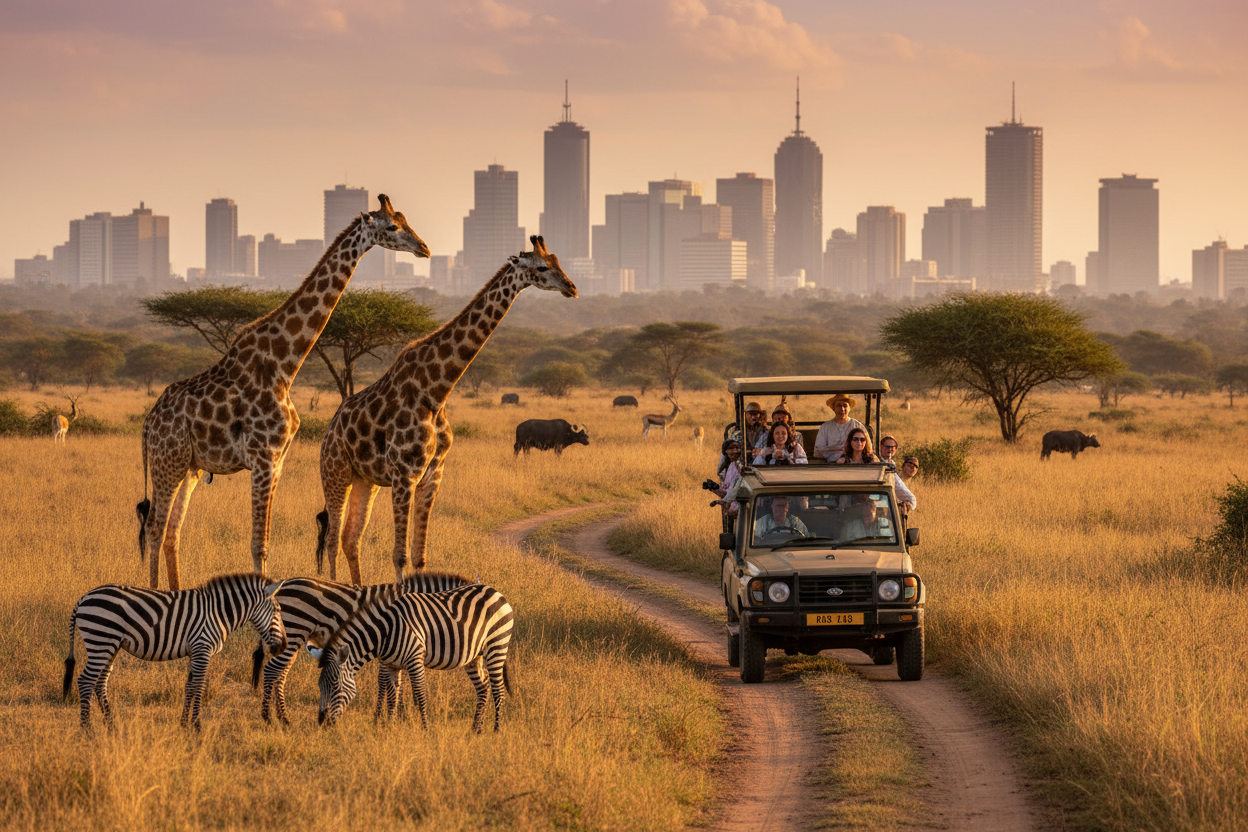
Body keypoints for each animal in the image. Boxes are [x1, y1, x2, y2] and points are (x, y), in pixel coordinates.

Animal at [63, 573, 286, 731]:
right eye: (278, 611)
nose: (283, 646)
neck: (218, 613)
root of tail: (83, 598)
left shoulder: (195, 652)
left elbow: (189, 687)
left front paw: (184, 724)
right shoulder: (202, 648)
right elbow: (198, 686)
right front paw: (197, 726)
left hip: (110, 645)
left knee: (100, 682)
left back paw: (111, 726)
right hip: (101, 640)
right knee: (86, 680)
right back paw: (87, 729)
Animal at [136, 195, 429, 590]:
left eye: (406, 220)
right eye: (393, 226)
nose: (424, 249)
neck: (284, 366)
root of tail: (147, 425)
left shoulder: (278, 461)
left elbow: (265, 541)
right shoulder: (263, 456)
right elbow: (258, 544)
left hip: (189, 468)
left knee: (171, 531)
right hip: (167, 462)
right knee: (154, 528)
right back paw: (155, 594)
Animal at [251, 570, 473, 724]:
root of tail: (282, 586)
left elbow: (390, 681)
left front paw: (393, 715)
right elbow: (386, 683)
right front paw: (384, 717)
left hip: (293, 638)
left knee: (281, 674)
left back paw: (283, 718)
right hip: (294, 631)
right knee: (272, 670)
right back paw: (268, 718)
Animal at [311, 583, 514, 733]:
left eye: (335, 686)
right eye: (320, 686)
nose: (322, 723)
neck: (386, 631)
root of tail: (495, 592)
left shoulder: (415, 659)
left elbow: (420, 694)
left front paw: (426, 730)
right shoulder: (392, 665)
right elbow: (392, 697)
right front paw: (390, 728)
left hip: (497, 645)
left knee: (498, 689)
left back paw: (496, 730)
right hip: (474, 656)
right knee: (483, 687)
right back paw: (476, 730)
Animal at [316, 235, 577, 585]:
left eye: (557, 261)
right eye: (541, 267)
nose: (571, 288)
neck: (437, 391)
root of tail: (328, 431)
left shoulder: (433, 475)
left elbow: (419, 557)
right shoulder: (404, 475)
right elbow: (399, 556)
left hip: (364, 480)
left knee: (349, 537)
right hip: (336, 472)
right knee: (332, 539)